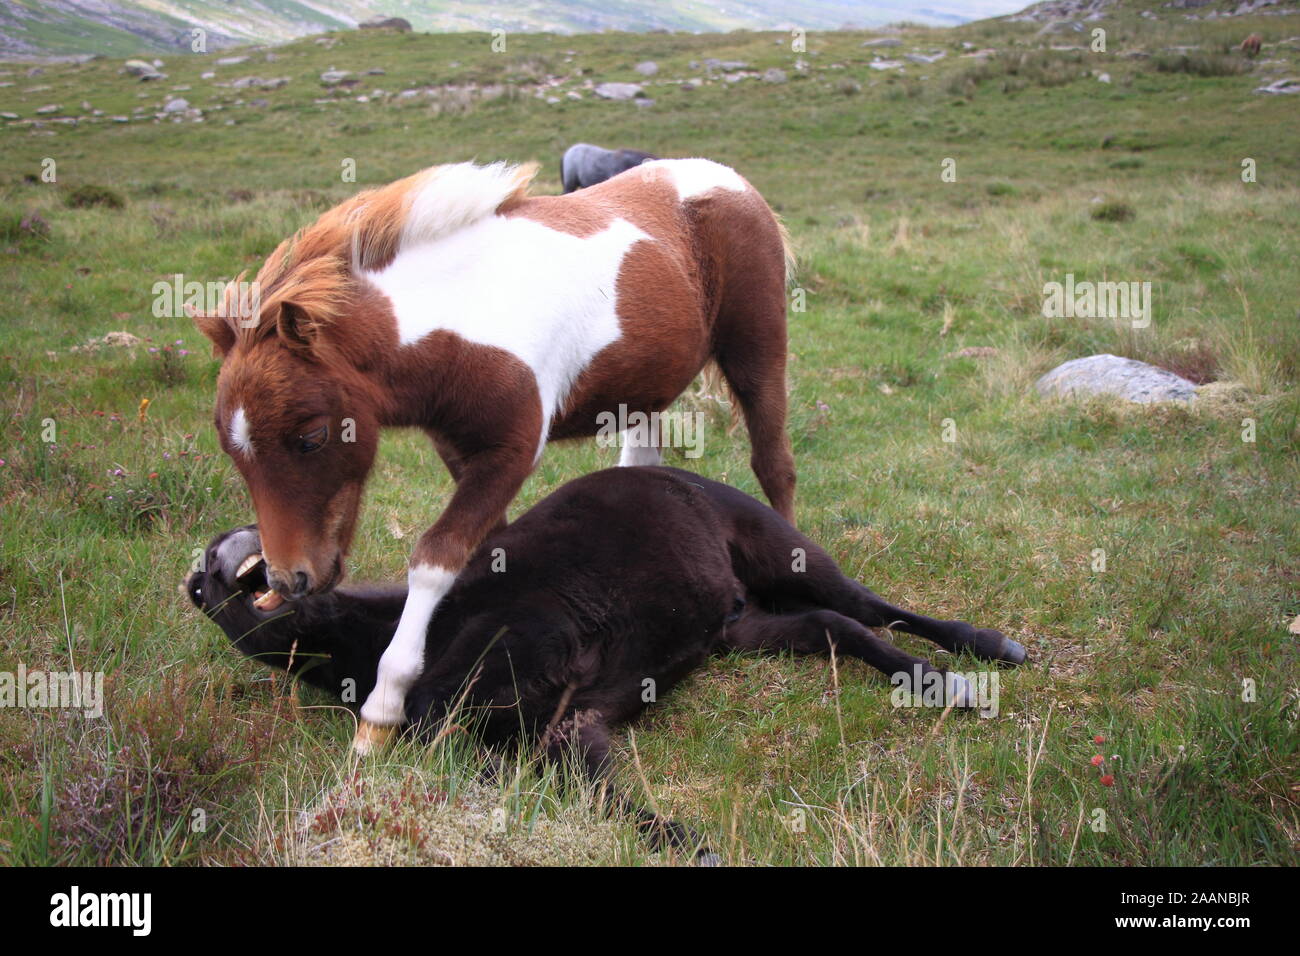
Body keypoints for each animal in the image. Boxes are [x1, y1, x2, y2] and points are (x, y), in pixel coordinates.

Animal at [186, 466, 1027, 861]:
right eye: (205, 590)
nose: (226, 555)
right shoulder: (573, 728)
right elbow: (596, 795)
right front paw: (690, 845)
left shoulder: (542, 644)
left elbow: (440, 720)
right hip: (737, 625)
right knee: (837, 626)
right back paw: (936, 681)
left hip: (781, 552)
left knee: (871, 606)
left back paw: (977, 656)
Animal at [192, 158, 796, 753]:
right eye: (233, 452)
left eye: (313, 437)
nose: (288, 578)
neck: (464, 317)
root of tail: (732, 180)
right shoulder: (459, 449)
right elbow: (490, 547)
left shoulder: (512, 451)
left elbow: (435, 559)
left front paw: (381, 712)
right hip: (643, 388)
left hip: (758, 352)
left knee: (775, 466)